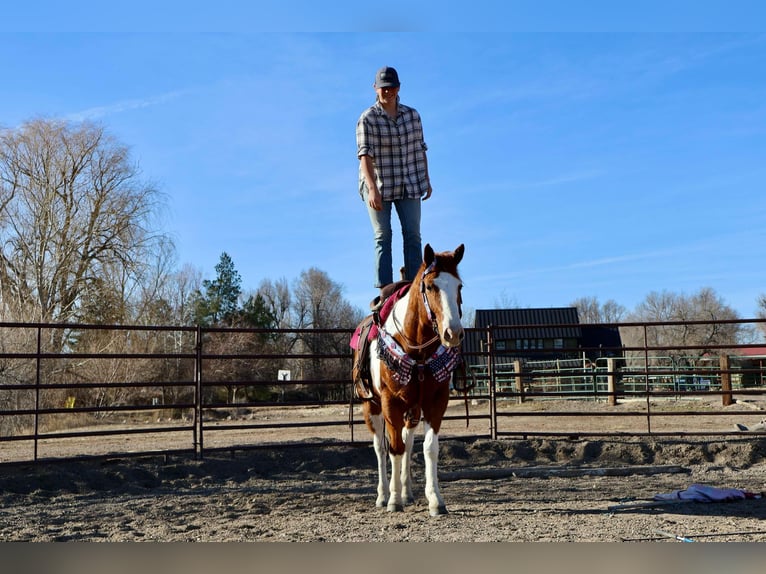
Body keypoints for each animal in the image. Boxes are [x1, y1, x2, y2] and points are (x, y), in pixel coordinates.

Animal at [357, 243, 465, 516]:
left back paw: (407, 492)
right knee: (381, 447)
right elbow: (393, 449)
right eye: (430, 286)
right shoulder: (390, 403)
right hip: (371, 406)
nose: (453, 333)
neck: (417, 350)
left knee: (408, 441)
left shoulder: (435, 402)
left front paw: (435, 500)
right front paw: (393, 500)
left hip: (413, 409)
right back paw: (383, 495)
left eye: (459, 286)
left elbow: (429, 448)